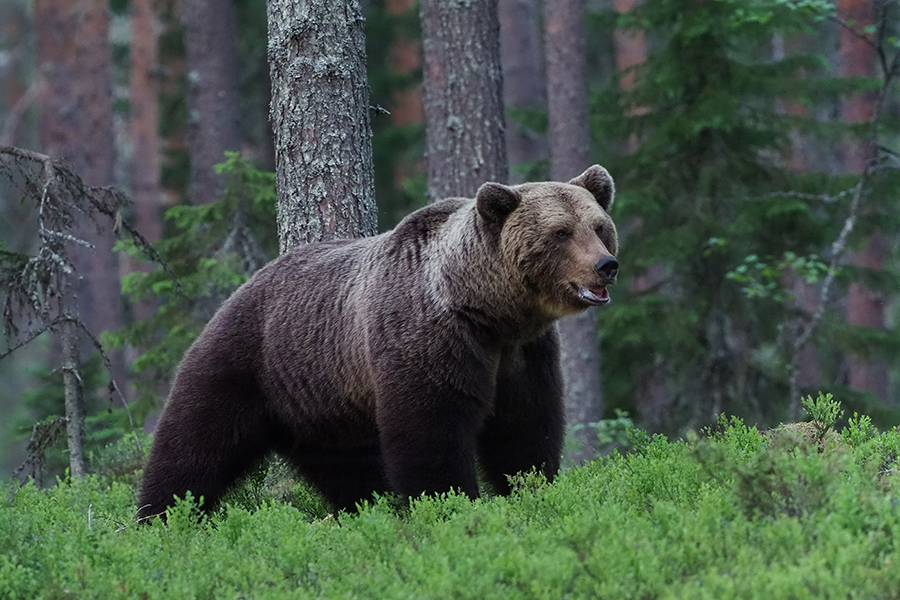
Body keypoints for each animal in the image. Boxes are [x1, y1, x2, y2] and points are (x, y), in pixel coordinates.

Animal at [136, 165, 619, 520]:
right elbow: (431, 432)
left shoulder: (524, 354)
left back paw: (367, 509)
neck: (489, 311)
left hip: (321, 406)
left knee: (349, 470)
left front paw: (531, 488)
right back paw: (161, 518)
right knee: (194, 444)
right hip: (246, 362)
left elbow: (524, 428)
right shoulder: (430, 338)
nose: (606, 265)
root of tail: (241, 287)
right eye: (560, 232)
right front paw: (451, 505)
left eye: (598, 226)